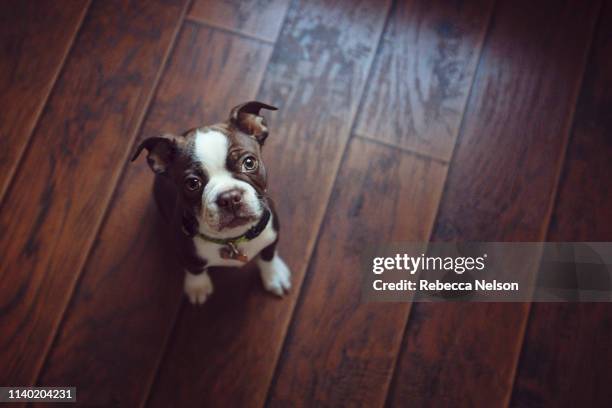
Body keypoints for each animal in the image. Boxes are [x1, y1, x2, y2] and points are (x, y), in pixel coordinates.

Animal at [130, 101, 292, 304]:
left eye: (249, 163)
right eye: (192, 184)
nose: (229, 197)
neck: (232, 239)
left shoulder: (272, 232)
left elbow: (268, 255)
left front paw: (274, 274)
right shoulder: (185, 253)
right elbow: (194, 269)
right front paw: (198, 287)